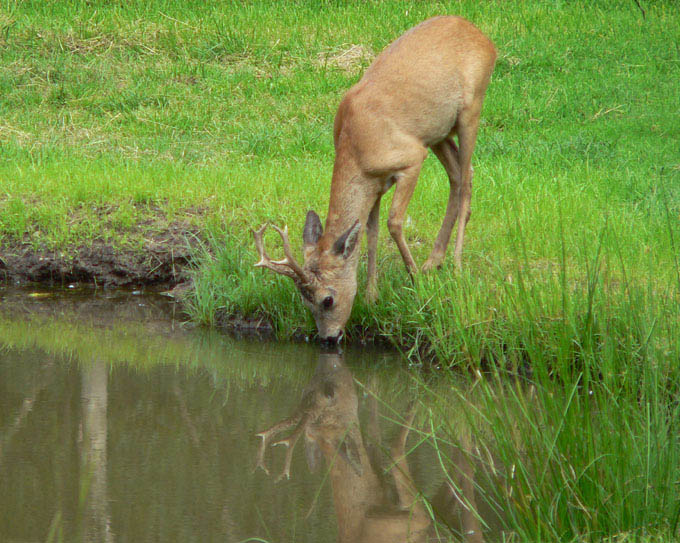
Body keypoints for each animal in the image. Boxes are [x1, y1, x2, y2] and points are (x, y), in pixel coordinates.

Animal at [252, 15, 496, 344]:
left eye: (327, 299)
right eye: (304, 301)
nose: (328, 338)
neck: (356, 150)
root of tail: (482, 37)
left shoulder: (411, 157)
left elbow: (394, 222)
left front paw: (414, 280)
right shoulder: (377, 185)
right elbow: (371, 232)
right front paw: (371, 296)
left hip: (471, 107)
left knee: (467, 179)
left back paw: (454, 266)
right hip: (438, 131)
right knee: (460, 174)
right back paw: (435, 260)